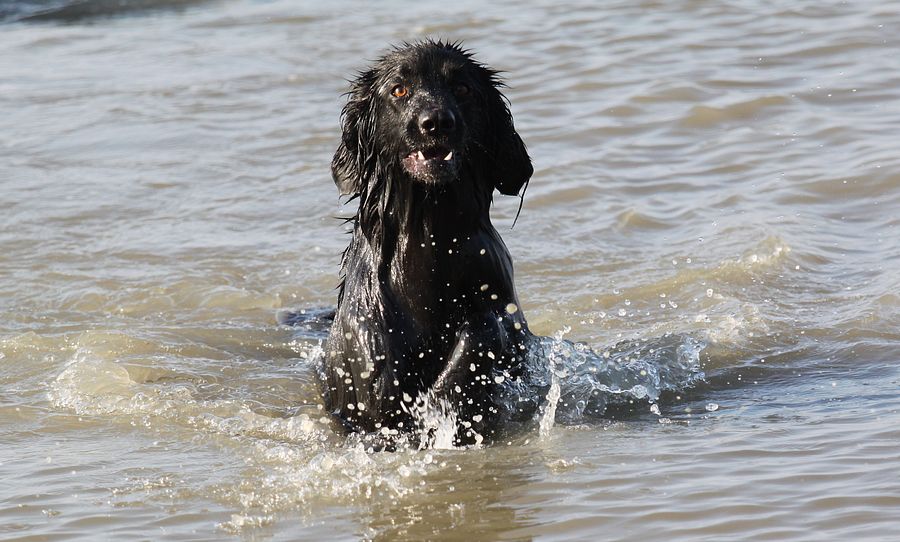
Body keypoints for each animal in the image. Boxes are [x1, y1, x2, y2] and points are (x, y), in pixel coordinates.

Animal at [323, 40, 536, 446]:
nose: (436, 122)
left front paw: (443, 397)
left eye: (463, 88)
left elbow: (484, 329)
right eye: (399, 90)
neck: (430, 240)